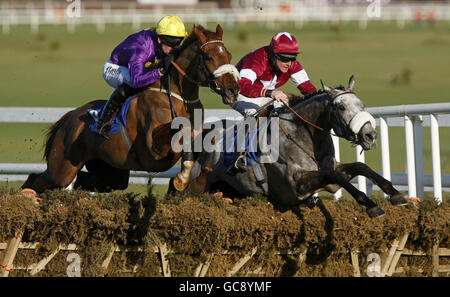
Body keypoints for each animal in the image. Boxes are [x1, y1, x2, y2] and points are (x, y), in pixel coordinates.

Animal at [22, 24, 239, 193]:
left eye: (228, 55)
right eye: (209, 57)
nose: (233, 90)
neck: (178, 96)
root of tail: (68, 118)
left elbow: (205, 139)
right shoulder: (154, 148)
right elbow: (181, 129)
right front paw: (182, 177)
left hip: (109, 170)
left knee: (86, 182)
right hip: (62, 169)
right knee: (37, 179)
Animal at [178, 75, 408, 216]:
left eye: (362, 105)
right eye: (341, 107)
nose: (370, 135)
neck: (306, 138)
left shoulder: (329, 174)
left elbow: (360, 167)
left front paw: (396, 194)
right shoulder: (296, 184)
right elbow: (336, 175)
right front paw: (371, 205)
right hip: (196, 187)